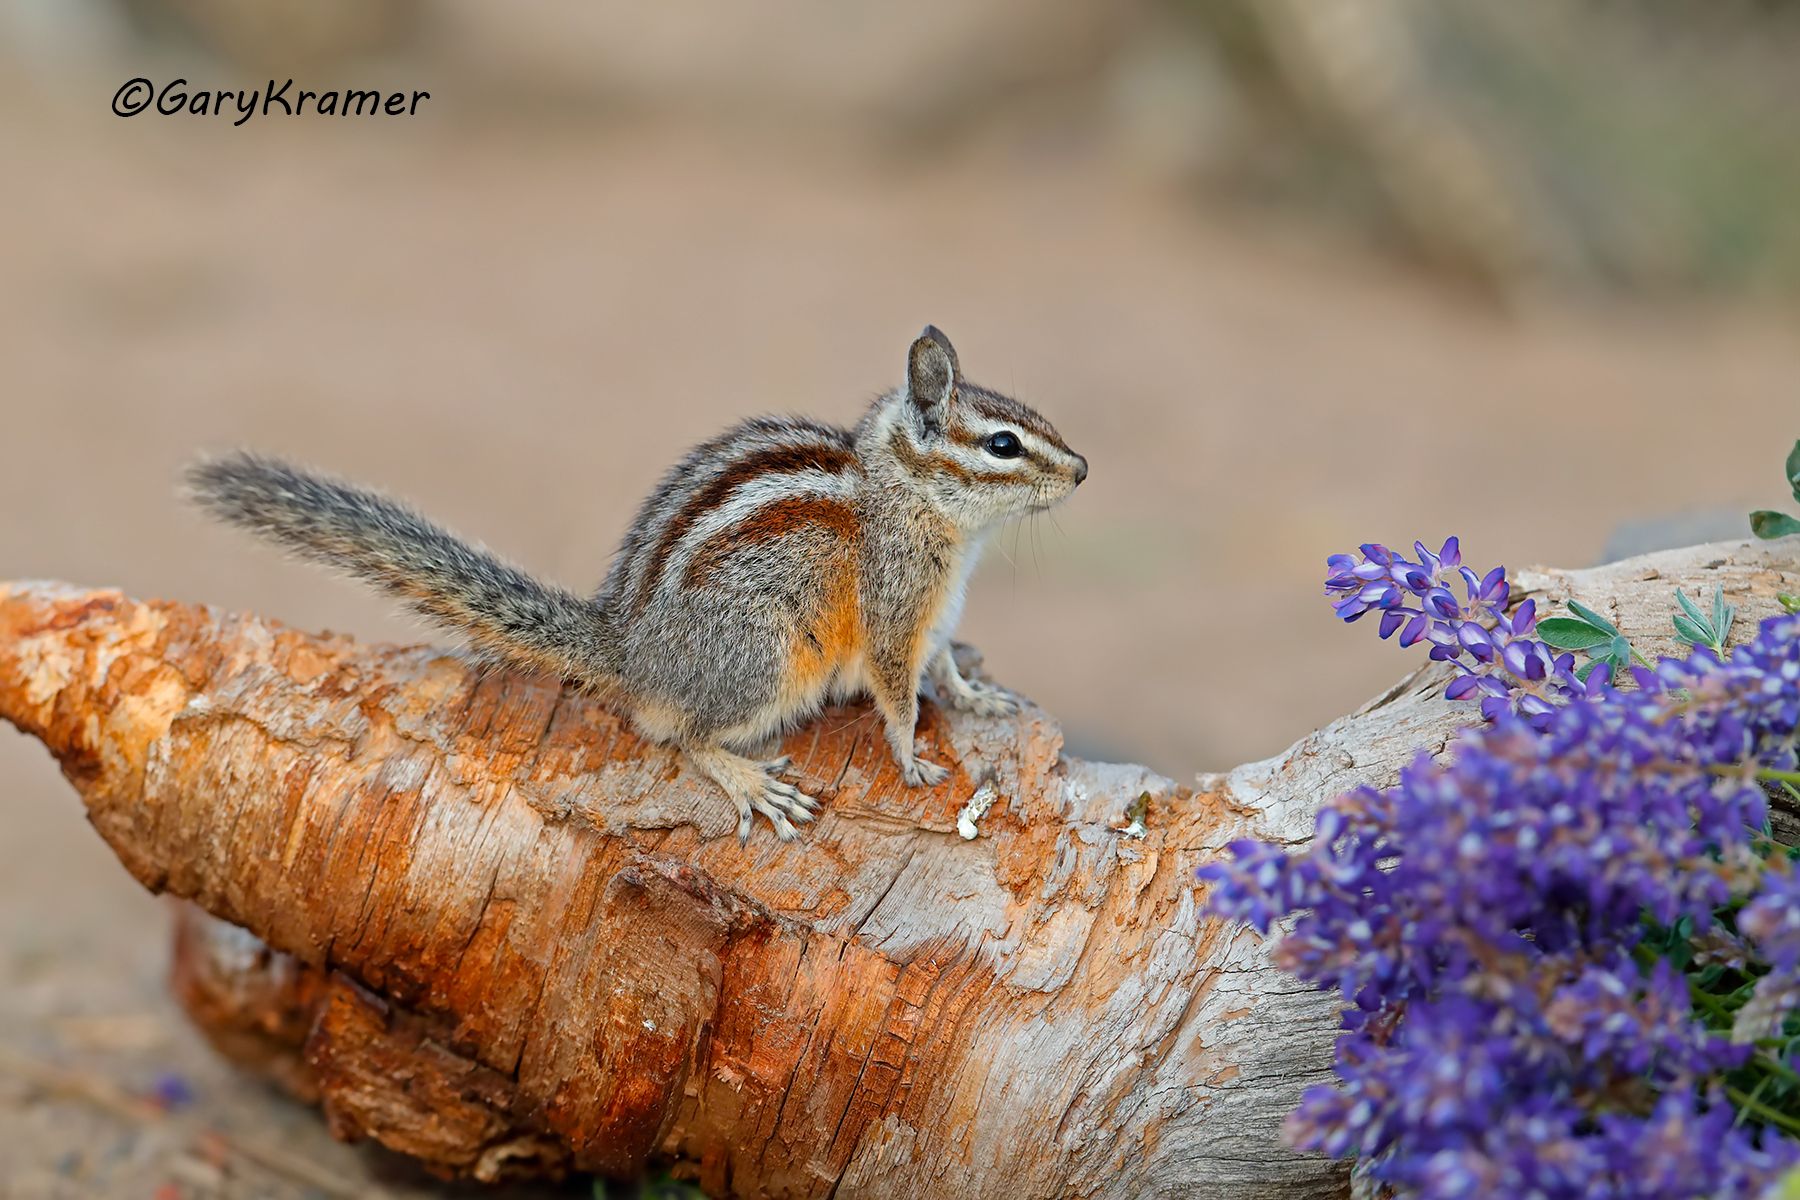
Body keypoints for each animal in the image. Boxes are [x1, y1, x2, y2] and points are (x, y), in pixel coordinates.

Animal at [185, 326, 1087, 842]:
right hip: (767, 656)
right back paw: (750, 781)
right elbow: (898, 691)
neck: (909, 500)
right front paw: (911, 757)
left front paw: (978, 697)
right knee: (683, 735)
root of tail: (630, 652)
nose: (1082, 470)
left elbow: (946, 666)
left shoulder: (936, 614)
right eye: (1004, 445)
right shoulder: (895, 612)